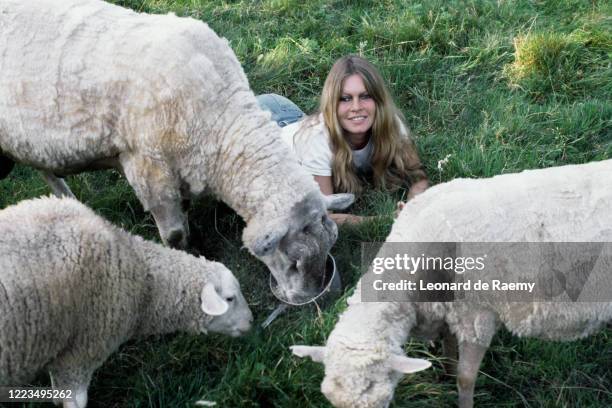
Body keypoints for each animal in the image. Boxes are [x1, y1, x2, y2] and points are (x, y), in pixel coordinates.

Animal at [0, 0, 354, 304]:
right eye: (293, 263)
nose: (309, 297)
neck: (220, 113)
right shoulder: (148, 169)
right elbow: (172, 234)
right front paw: (185, 258)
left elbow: (183, 210)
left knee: (44, 168)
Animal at [290, 159, 612, 408]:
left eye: (382, 400)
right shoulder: (444, 311)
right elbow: (447, 347)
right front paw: (445, 370)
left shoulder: (476, 317)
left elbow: (466, 378)